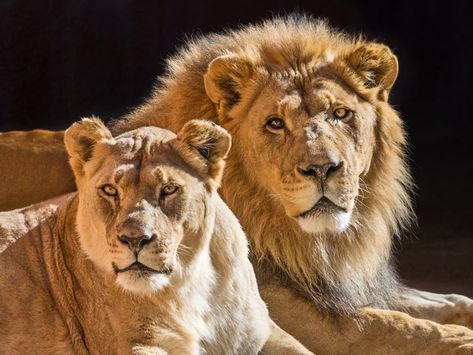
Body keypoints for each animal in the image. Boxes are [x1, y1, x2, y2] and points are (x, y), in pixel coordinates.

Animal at [0, 118, 310, 354]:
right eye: (110, 190)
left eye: (169, 189)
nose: (134, 239)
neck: (188, 285)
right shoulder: (138, 344)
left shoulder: (262, 333)